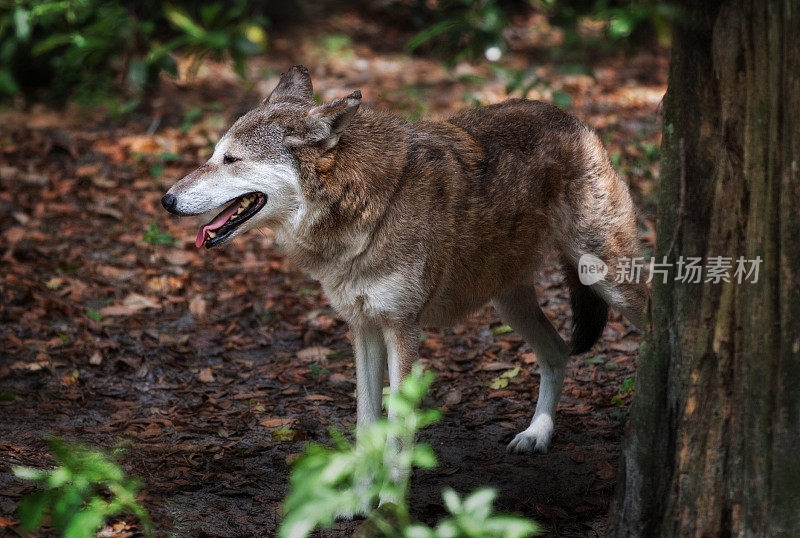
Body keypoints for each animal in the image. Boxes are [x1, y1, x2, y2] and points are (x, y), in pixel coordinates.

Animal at [162, 65, 648, 454]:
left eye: (231, 160)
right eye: (213, 156)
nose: (167, 200)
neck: (366, 208)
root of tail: (573, 120)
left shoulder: (402, 331)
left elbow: (397, 433)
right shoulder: (363, 329)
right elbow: (365, 425)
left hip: (607, 281)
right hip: (508, 303)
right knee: (559, 353)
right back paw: (538, 433)